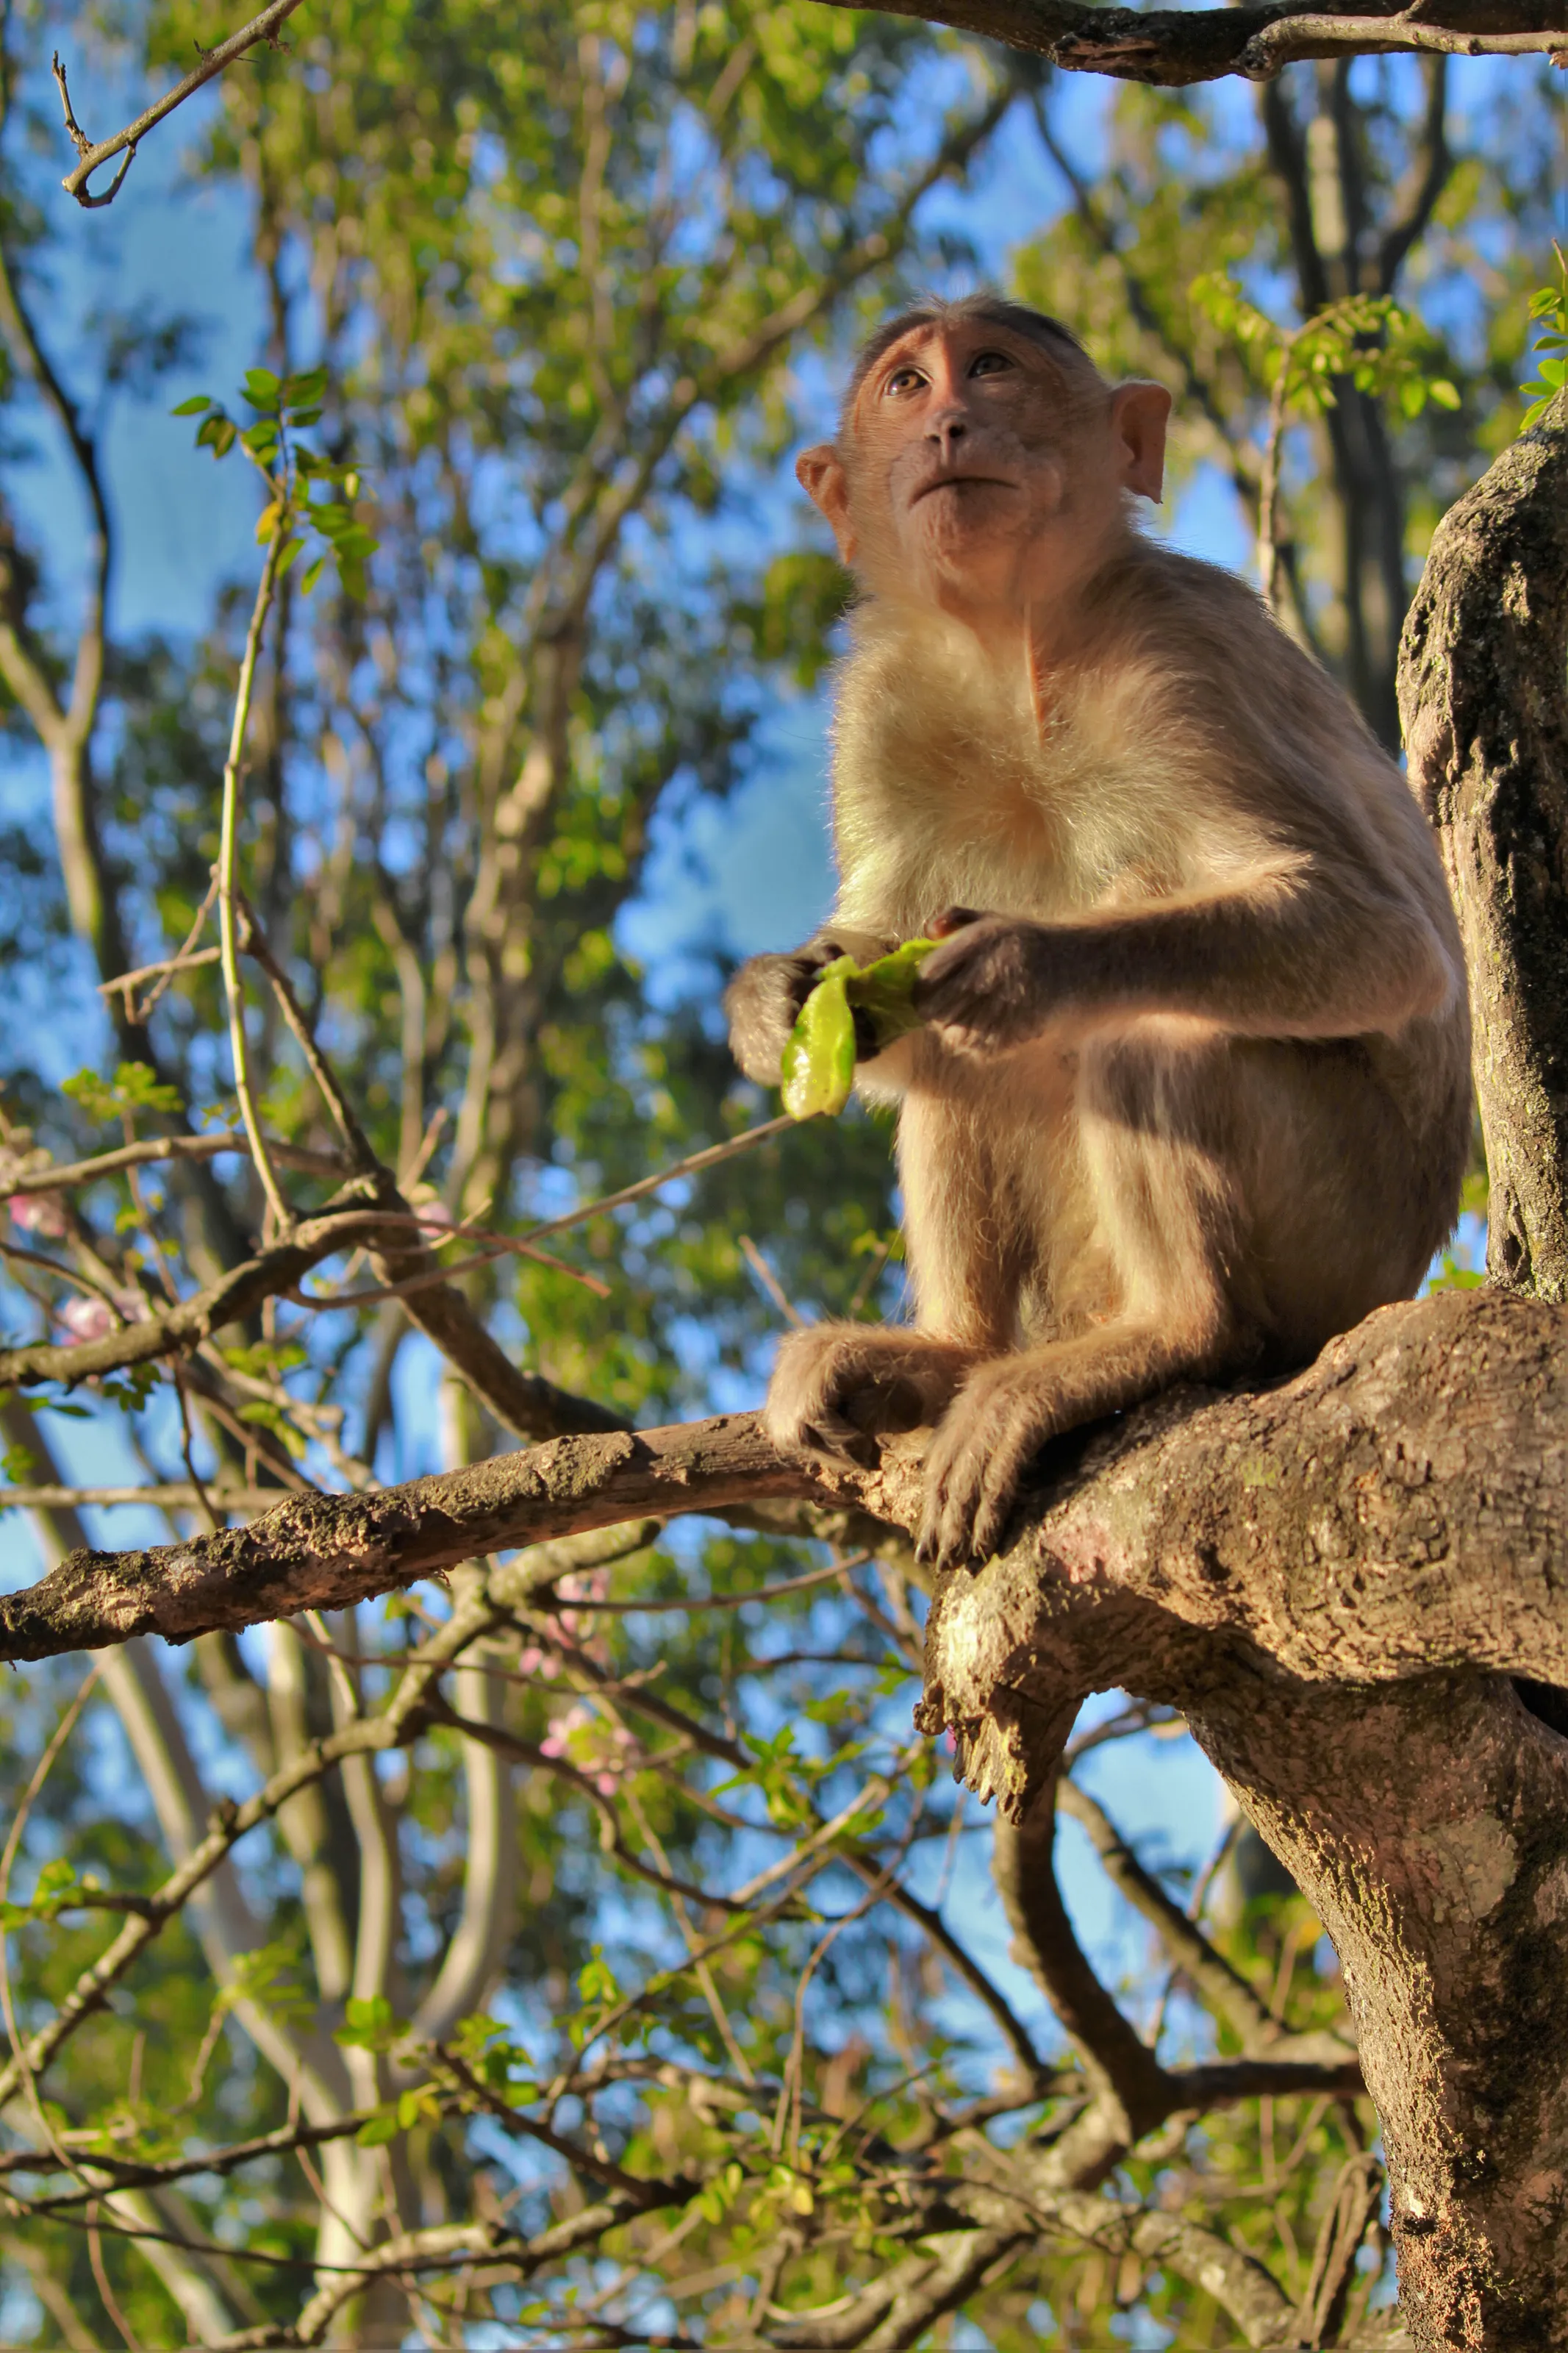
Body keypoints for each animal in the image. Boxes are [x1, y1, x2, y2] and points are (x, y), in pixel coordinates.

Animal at [725, 293, 1471, 1573]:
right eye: (907, 385)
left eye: (990, 368)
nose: (952, 423)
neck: (1012, 645)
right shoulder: (877, 702)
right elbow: (879, 970)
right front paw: (779, 998)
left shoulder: (1188, 653)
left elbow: (1383, 941)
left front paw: (1025, 962)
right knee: (949, 1059)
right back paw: (956, 1353)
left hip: (1348, 1235)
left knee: (1156, 1026)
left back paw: (1171, 1336)